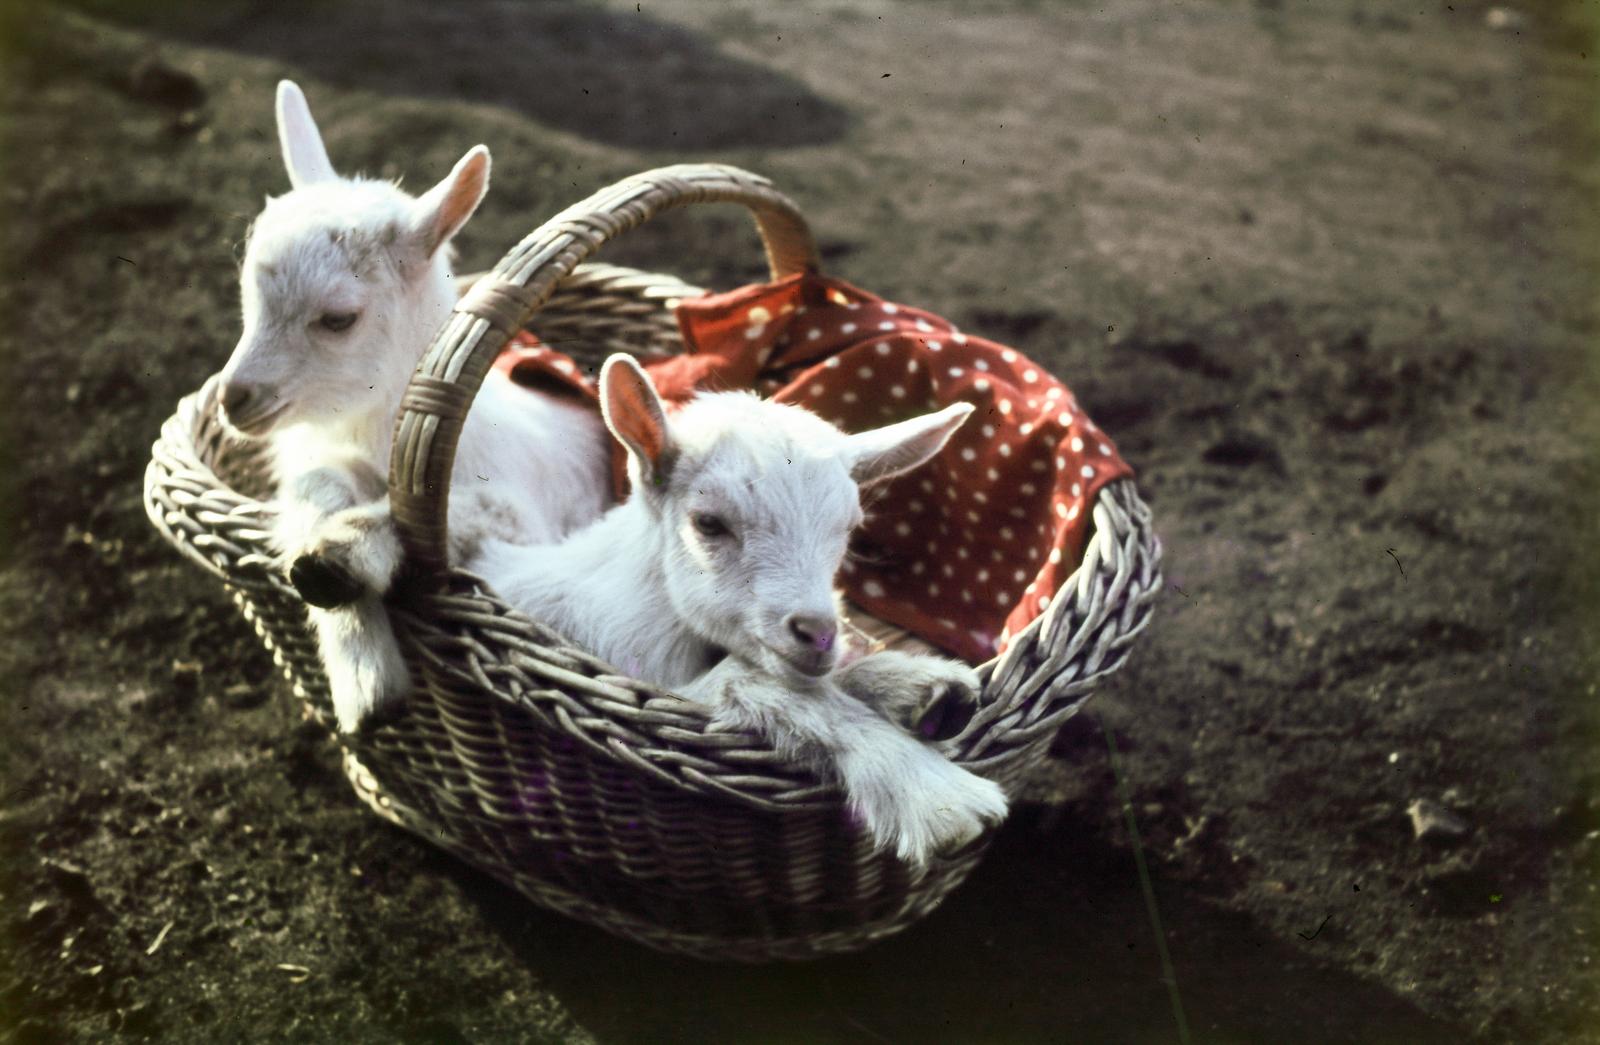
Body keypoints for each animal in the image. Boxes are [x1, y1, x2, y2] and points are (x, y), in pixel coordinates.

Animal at [218, 81, 612, 731]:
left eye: (338, 318)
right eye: (247, 293)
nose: (233, 398)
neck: (373, 438)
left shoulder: (525, 518)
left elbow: (443, 522)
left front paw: (339, 562)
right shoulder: (317, 458)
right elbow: (313, 489)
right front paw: (362, 673)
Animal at [474, 355, 1009, 865]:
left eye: (848, 526)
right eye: (708, 523)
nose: (818, 634)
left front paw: (926, 688)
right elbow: (746, 679)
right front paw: (933, 793)